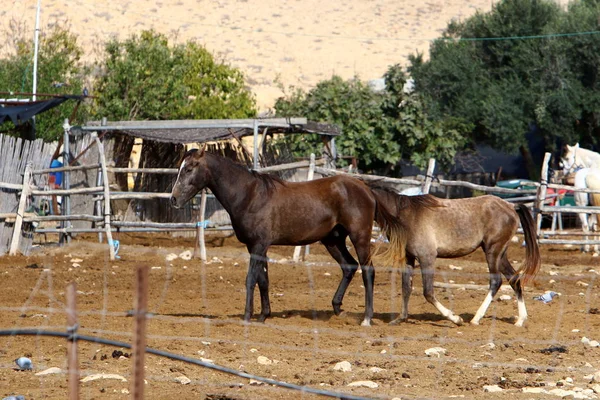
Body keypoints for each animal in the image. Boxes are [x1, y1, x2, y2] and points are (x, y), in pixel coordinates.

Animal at [372, 188, 540, 328]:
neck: (407, 214)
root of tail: (511, 206)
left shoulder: (427, 258)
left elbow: (428, 293)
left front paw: (455, 319)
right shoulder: (409, 258)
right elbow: (406, 288)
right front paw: (400, 318)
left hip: (493, 252)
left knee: (496, 281)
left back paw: (476, 318)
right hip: (500, 255)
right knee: (514, 279)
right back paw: (520, 320)